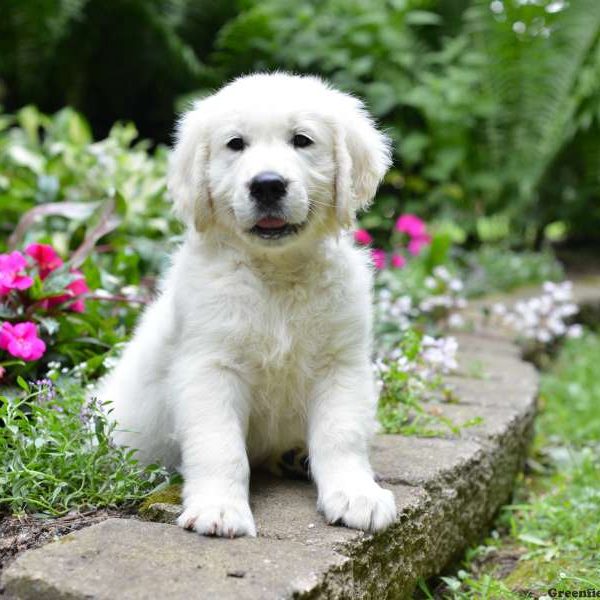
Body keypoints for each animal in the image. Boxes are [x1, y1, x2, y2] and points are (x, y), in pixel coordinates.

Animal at [101, 72, 396, 536]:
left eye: (302, 140)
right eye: (235, 144)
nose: (268, 184)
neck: (275, 274)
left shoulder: (341, 363)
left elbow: (341, 435)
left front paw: (356, 494)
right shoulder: (209, 367)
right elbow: (219, 445)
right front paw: (220, 507)